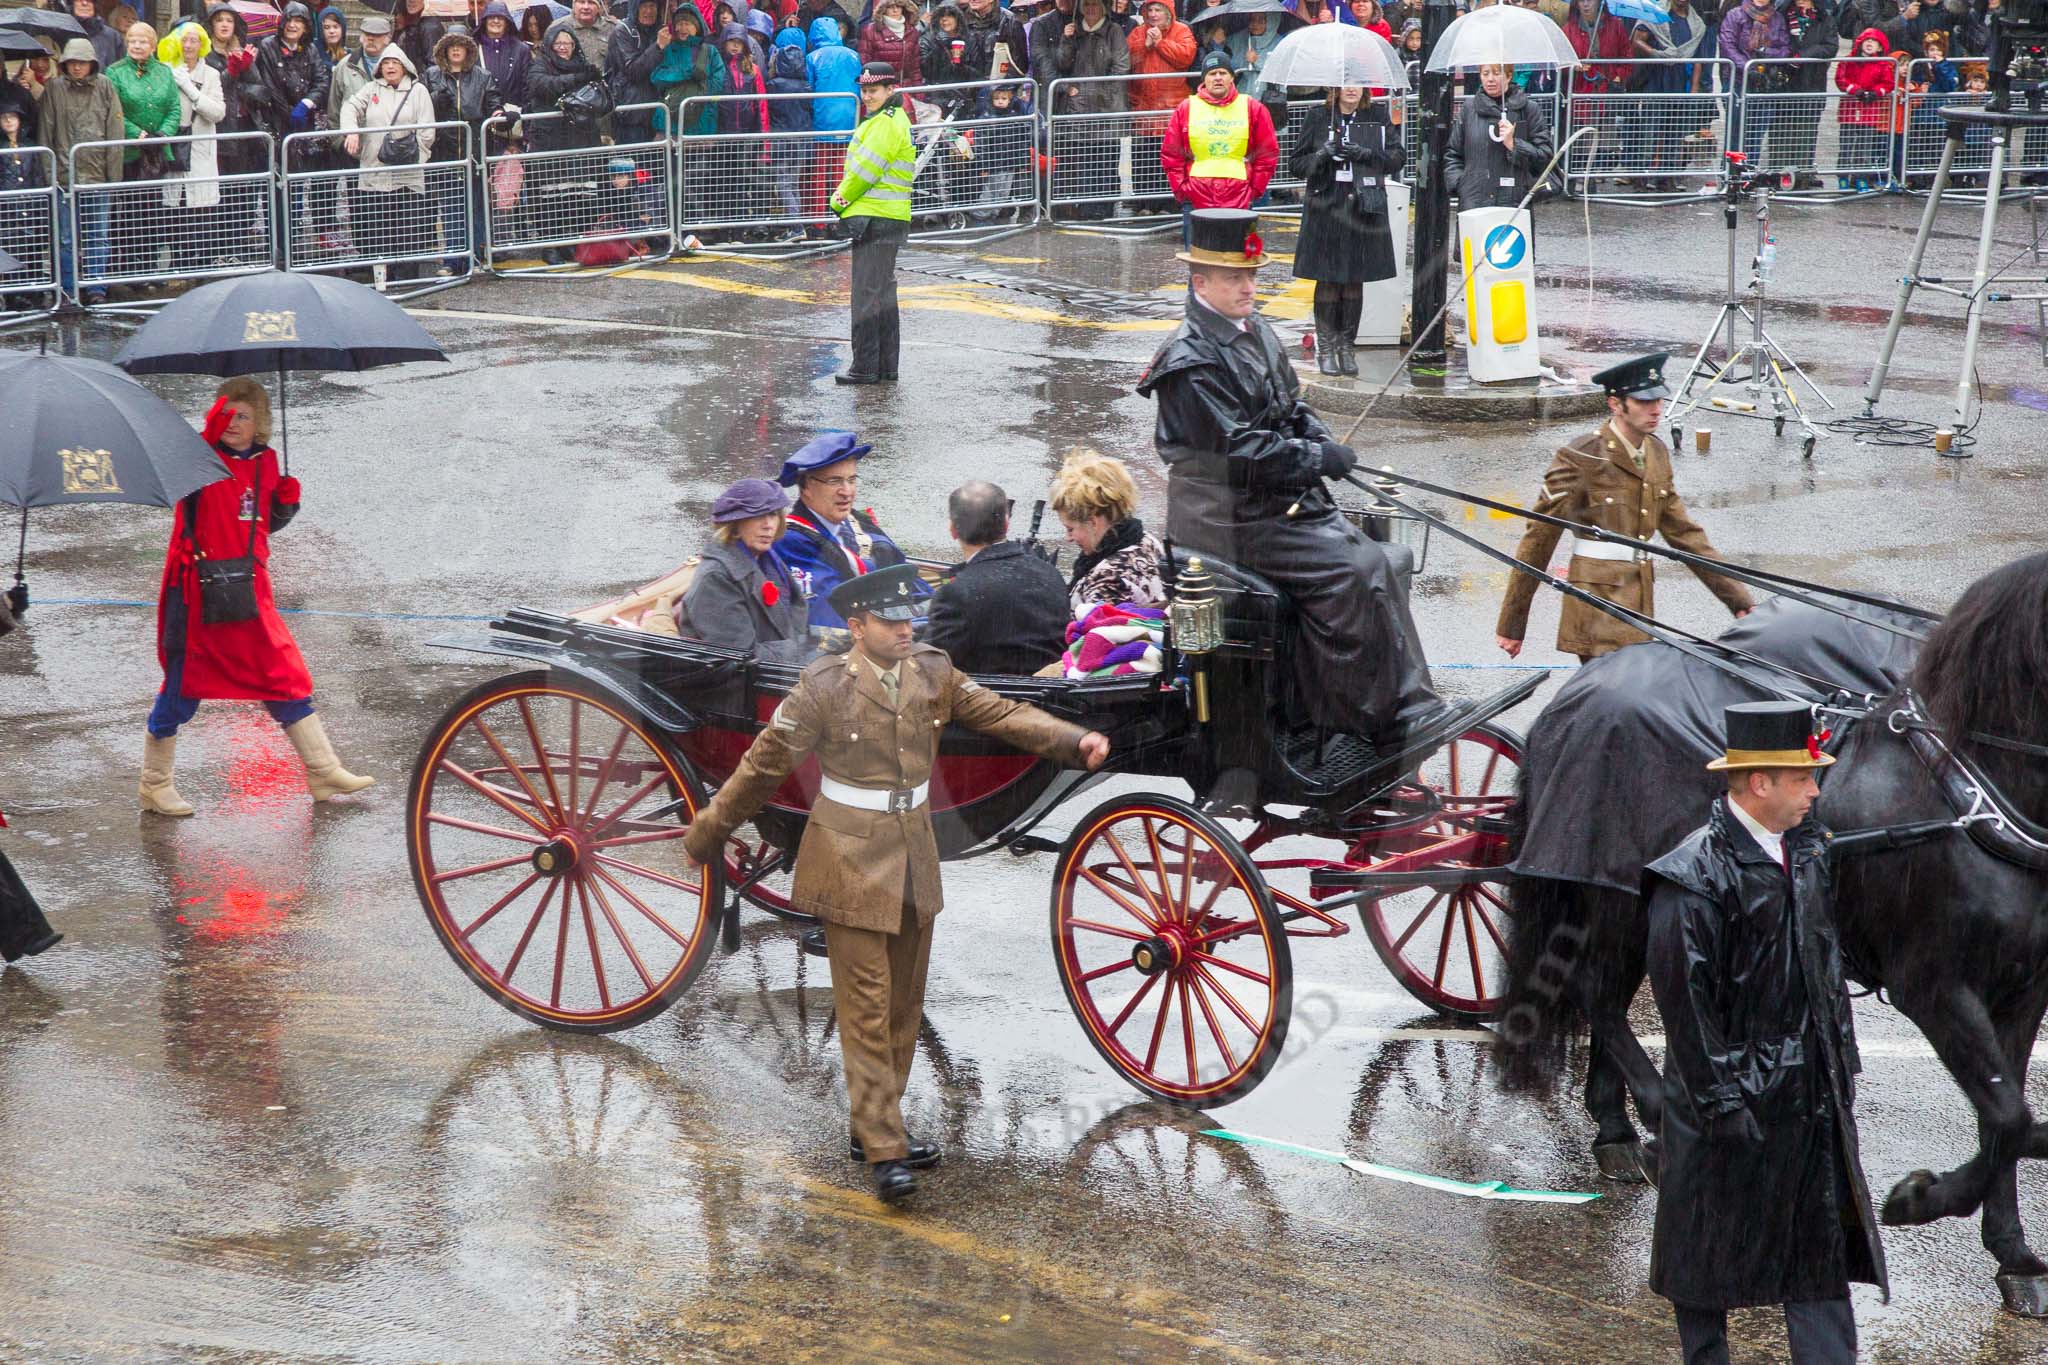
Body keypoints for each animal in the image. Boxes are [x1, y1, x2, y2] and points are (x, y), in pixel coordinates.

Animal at [1490, 556, 2048, 1309]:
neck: (1971, 797)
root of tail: (1569, 695)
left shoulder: (2022, 990)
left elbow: (2007, 1120)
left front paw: (2013, 1253)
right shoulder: (1934, 987)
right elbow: (2013, 1118)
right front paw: (1917, 1198)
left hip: (1632, 903)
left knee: (1610, 996)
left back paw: (1616, 1128)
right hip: (1615, 901)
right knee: (1597, 994)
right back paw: (1655, 1118)